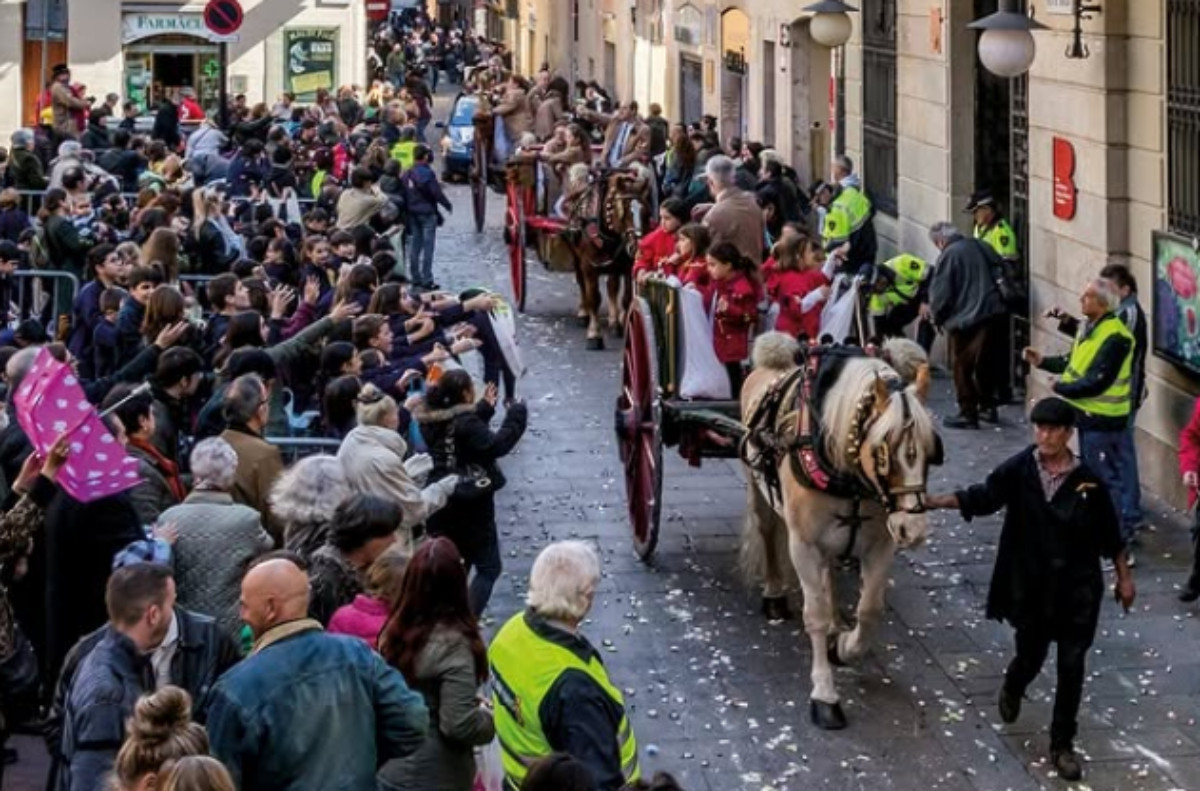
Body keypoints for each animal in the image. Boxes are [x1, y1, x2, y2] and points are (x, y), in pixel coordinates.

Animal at [739, 331, 936, 734]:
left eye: (931, 450)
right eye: (884, 453)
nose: (912, 529)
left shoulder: (880, 544)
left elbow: (870, 610)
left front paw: (844, 646)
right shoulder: (803, 544)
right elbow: (812, 614)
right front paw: (825, 695)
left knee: (829, 574)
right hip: (759, 492)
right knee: (767, 534)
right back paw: (774, 594)